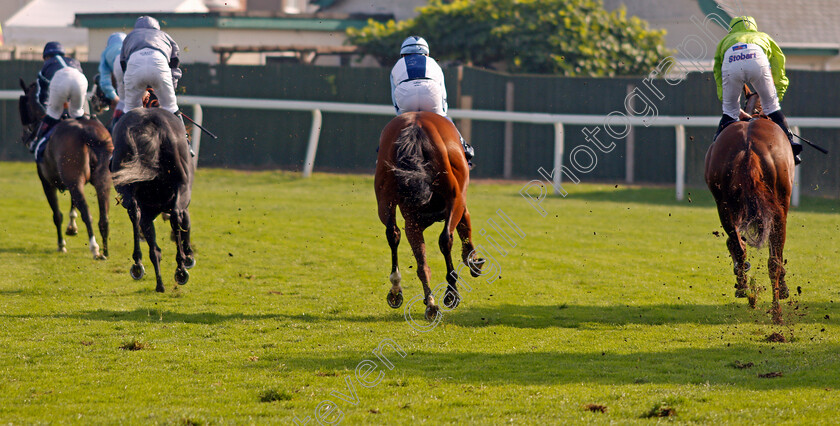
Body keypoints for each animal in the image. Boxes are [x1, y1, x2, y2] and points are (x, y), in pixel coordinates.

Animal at [18, 79, 113, 260]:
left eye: (24, 105)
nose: (25, 135)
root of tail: (86, 131)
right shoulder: (71, 181)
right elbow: (73, 205)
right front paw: (72, 228)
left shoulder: (47, 182)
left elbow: (57, 215)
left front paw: (61, 245)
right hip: (101, 179)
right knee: (103, 216)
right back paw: (105, 251)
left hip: (74, 179)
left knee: (87, 213)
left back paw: (94, 247)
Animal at [110, 107, 194, 292]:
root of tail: (148, 121)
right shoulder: (182, 204)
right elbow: (184, 225)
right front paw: (188, 257)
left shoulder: (147, 213)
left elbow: (154, 249)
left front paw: (159, 282)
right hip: (183, 185)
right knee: (176, 215)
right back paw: (180, 267)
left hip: (127, 185)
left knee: (135, 212)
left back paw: (140, 265)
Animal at [376, 111, 486, 322]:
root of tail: (415, 123)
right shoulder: (458, 202)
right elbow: (460, 231)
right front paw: (472, 261)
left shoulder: (412, 220)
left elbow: (420, 258)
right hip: (454, 197)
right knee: (446, 239)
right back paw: (449, 294)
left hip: (385, 198)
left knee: (394, 235)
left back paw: (415, 298)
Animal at [704, 85, 796, 322]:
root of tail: (749, 147)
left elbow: (736, 243)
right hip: (778, 207)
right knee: (772, 259)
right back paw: (774, 309)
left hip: (724, 205)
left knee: (738, 245)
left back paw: (749, 290)